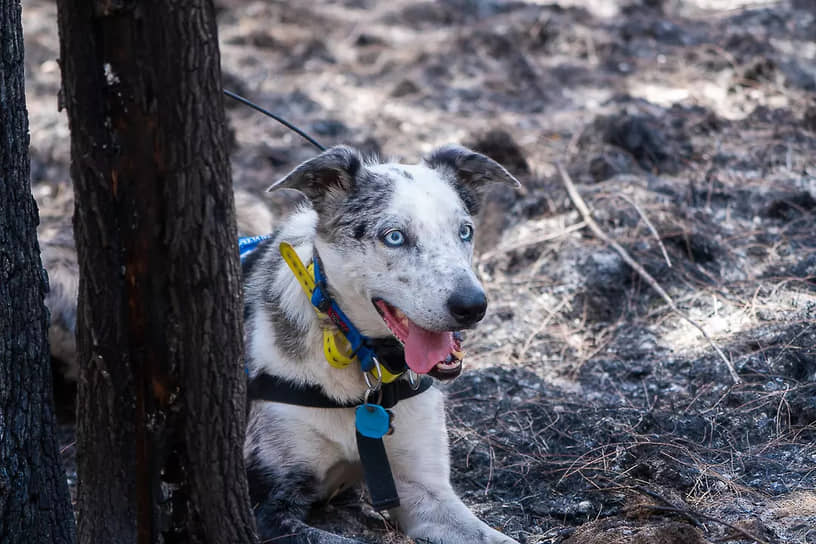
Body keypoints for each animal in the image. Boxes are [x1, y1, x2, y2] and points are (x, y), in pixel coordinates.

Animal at [242, 146, 524, 544]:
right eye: (394, 237)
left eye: (465, 231)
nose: (473, 306)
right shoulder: (268, 504)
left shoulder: (426, 492)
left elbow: (497, 537)